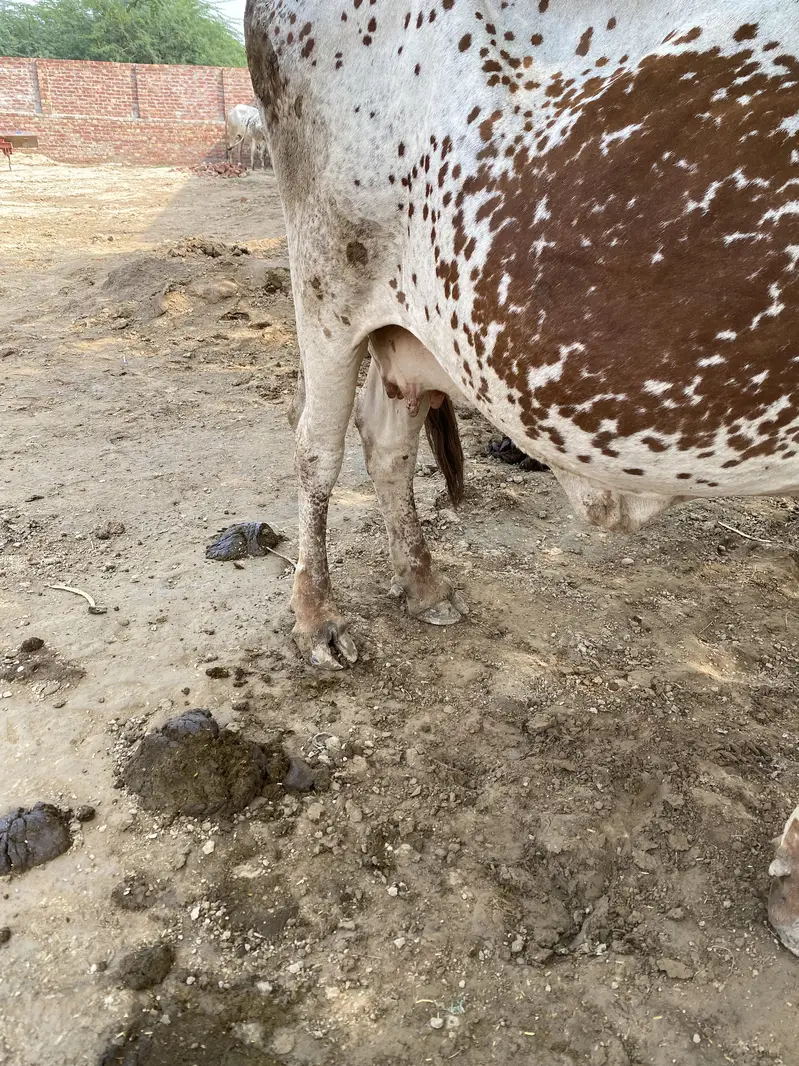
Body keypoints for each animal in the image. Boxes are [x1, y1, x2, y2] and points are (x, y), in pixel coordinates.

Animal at [243, 0, 799, 672]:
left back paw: (423, 585)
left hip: (410, 325)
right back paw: (316, 617)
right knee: (316, 449)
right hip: (328, 284)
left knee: (388, 441)